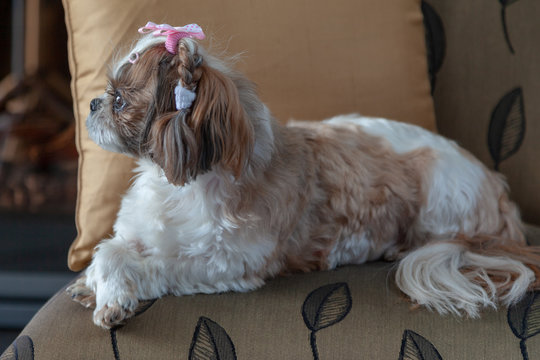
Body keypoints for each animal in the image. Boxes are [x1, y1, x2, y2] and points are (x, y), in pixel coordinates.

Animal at [67, 21, 540, 330]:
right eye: (106, 93)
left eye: (120, 100)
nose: (93, 103)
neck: (172, 184)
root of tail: (499, 196)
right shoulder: (140, 228)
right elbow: (109, 250)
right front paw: (92, 285)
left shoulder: (225, 262)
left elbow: (131, 259)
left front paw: (115, 299)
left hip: (440, 198)